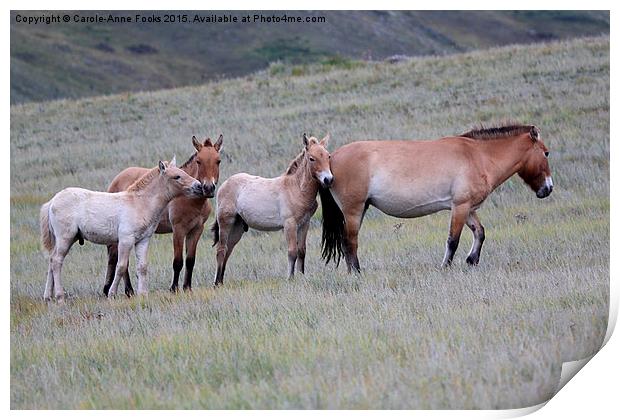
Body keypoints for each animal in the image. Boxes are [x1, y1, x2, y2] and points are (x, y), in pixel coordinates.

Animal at [103, 135, 223, 296]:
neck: (190, 199)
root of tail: (117, 179)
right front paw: (174, 289)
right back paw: (128, 291)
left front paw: (187, 288)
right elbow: (178, 261)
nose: (208, 188)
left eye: (218, 161)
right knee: (117, 260)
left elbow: (190, 260)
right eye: (199, 161)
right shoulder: (178, 230)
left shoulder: (196, 230)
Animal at [320, 124, 552, 272]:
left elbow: (480, 232)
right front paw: (445, 267)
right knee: (350, 241)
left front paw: (471, 260)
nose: (548, 188)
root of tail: (330, 158)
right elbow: (453, 241)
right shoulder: (460, 206)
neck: (478, 156)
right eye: (546, 153)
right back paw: (356, 273)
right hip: (354, 210)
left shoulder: (467, 208)